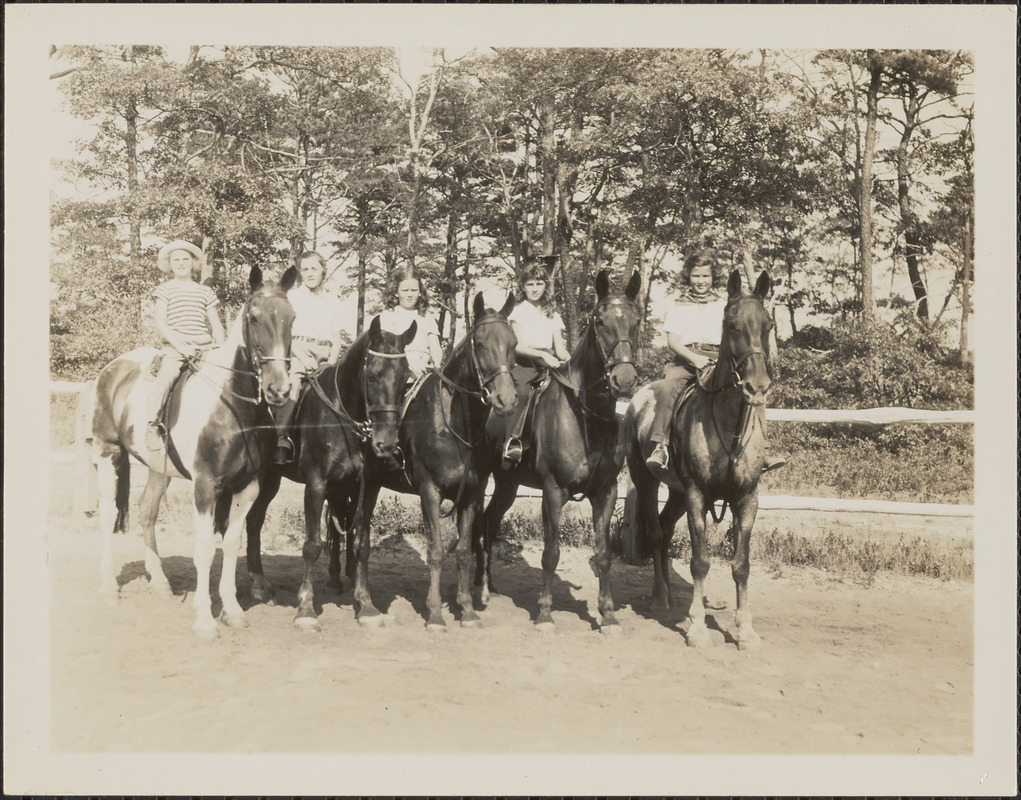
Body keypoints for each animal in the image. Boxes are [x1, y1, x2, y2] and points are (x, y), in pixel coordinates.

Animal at [91, 265, 296, 640]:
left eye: (292, 317)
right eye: (254, 317)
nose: (279, 388)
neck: (232, 406)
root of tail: (110, 370)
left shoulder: (247, 487)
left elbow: (230, 544)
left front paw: (232, 611)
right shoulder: (206, 486)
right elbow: (205, 550)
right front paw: (204, 618)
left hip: (158, 469)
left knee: (147, 511)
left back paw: (160, 582)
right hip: (107, 453)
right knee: (108, 514)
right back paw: (110, 587)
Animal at [244, 312, 418, 632]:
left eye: (405, 380)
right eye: (373, 376)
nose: (386, 444)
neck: (342, 415)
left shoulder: (367, 487)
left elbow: (361, 543)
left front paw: (366, 605)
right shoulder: (316, 484)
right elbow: (313, 545)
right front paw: (305, 610)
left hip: (273, 480)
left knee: (254, 520)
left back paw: (260, 585)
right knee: (251, 521)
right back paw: (258, 585)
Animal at [469, 271, 637, 632]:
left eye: (636, 321)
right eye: (600, 321)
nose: (625, 379)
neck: (587, 420)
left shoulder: (606, 491)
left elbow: (603, 555)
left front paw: (608, 615)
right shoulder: (553, 490)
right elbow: (551, 553)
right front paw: (545, 613)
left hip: (508, 484)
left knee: (489, 523)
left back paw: (489, 586)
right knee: (480, 524)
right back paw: (479, 588)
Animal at [620, 269, 771, 648]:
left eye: (769, 324)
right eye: (731, 324)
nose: (757, 387)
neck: (729, 425)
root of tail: (637, 399)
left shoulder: (747, 497)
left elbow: (741, 565)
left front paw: (745, 630)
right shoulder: (697, 495)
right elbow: (700, 561)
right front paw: (699, 629)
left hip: (675, 492)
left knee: (665, 527)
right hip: (647, 482)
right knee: (657, 533)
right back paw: (661, 598)